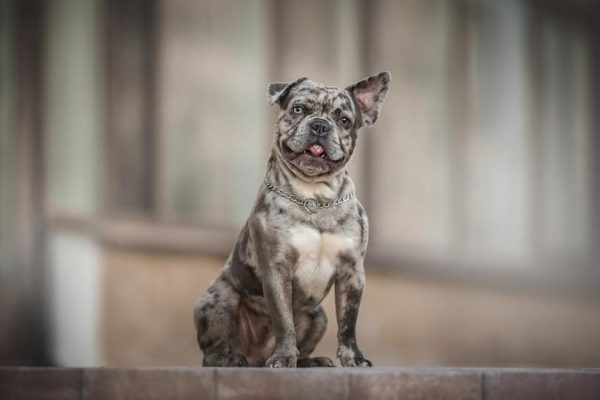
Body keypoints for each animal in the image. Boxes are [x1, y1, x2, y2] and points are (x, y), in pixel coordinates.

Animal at [192, 72, 390, 368]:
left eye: (344, 120)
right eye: (298, 109)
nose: (320, 125)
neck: (314, 197)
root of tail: (257, 356)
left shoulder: (352, 272)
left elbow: (348, 324)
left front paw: (353, 358)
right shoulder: (277, 269)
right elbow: (284, 321)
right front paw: (283, 357)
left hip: (318, 316)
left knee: (305, 345)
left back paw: (312, 361)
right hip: (219, 300)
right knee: (214, 351)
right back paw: (232, 359)